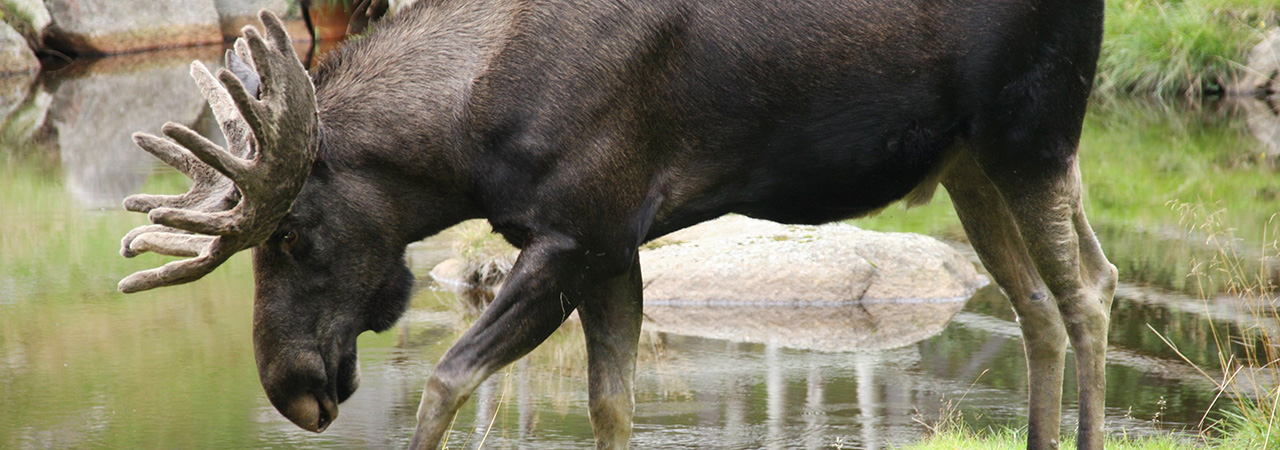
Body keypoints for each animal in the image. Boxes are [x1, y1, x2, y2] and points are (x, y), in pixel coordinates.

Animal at [117, 2, 1117, 449]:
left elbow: (446, 379)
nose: (290, 388)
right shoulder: (615, 250)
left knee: (1090, 295)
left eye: (291, 236)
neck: (463, 137)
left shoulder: (581, 231)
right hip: (969, 160)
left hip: (1033, 130)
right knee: (1038, 306)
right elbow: (612, 402)